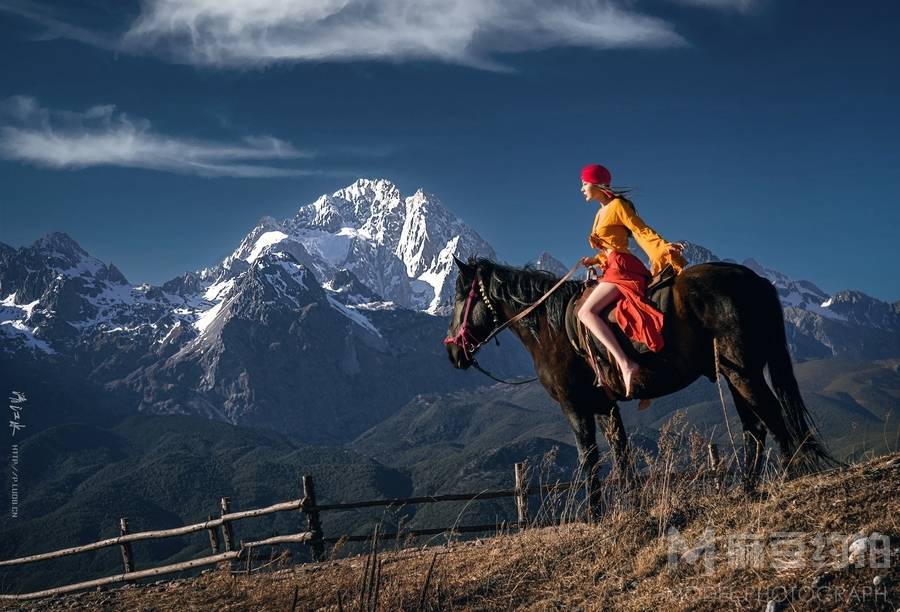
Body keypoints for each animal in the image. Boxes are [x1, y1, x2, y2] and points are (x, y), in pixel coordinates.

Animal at [442, 256, 828, 504]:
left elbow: (589, 458)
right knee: (755, 426)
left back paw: (790, 476)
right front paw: (633, 507)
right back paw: (748, 489)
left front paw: (595, 515)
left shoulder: (575, 405)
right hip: (734, 373)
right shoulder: (604, 406)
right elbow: (621, 455)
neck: (549, 328)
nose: (453, 353)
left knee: (771, 416)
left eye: (460, 299)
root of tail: (757, 281)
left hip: (742, 370)